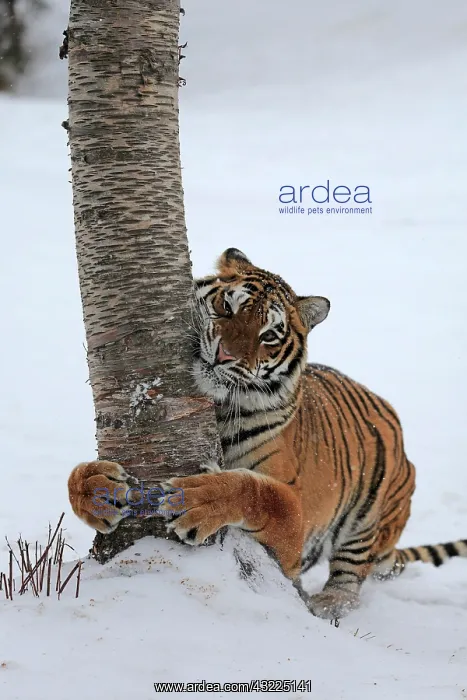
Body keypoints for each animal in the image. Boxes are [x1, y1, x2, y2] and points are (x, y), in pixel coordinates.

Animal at [68, 248, 467, 619]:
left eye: (270, 334)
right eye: (226, 307)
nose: (225, 356)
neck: (218, 411)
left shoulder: (294, 526)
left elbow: (257, 490)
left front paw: (197, 499)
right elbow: (76, 478)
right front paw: (94, 487)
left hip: (372, 512)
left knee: (350, 576)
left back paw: (327, 604)